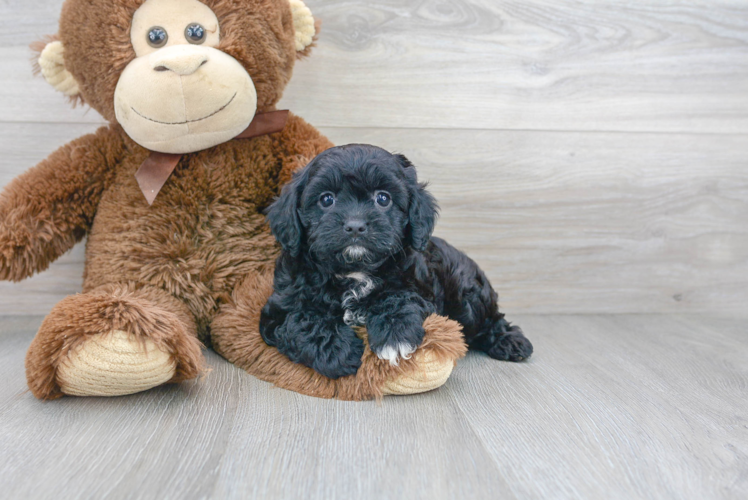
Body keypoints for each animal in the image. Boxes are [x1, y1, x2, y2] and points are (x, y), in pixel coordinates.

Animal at [262, 145, 532, 378]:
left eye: (383, 199)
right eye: (326, 199)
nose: (355, 225)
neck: (354, 271)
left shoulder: (421, 289)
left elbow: (399, 298)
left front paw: (394, 336)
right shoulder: (277, 311)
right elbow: (303, 321)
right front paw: (341, 353)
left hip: (467, 296)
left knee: (489, 319)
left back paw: (510, 342)